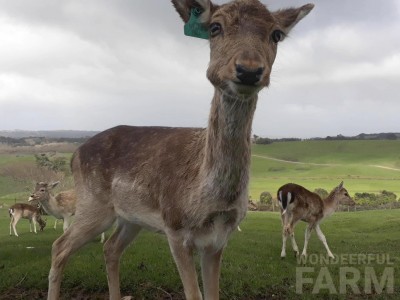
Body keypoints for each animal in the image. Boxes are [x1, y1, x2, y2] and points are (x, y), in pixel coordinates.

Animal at [47, 1, 316, 298]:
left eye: (276, 34)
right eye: (215, 27)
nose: (249, 69)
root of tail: (75, 154)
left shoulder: (220, 238)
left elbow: (213, 292)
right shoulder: (174, 228)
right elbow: (193, 293)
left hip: (130, 217)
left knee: (110, 248)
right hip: (93, 204)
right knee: (59, 247)